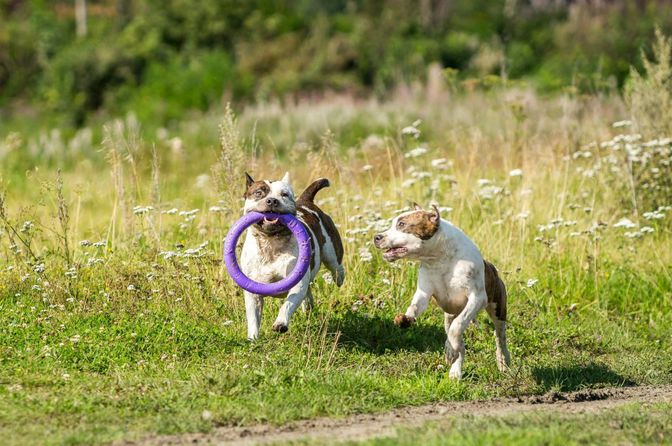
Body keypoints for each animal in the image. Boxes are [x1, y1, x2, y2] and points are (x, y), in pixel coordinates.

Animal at [239, 172, 344, 340]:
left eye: (284, 194)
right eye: (259, 192)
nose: (272, 200)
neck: (271, 242)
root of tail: (306, 201)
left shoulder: (297, 284)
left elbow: (287, 305)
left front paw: (280, 323)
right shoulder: (252, 291)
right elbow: (253, 317)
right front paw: (253, 339)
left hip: (333, 258)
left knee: (338, 272)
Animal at [372, 205, 510, 380]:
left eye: (402, 224)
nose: (376, 237)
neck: (439, 258)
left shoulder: (476, 298)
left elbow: (457, 326)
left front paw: (451, 348)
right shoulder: (423, 293)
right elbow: (414, 307)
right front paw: (405, 319)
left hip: (497, 308)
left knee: (498, 335)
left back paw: (503, 361)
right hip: (449, 315)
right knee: (459, 343)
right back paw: (455, 369)